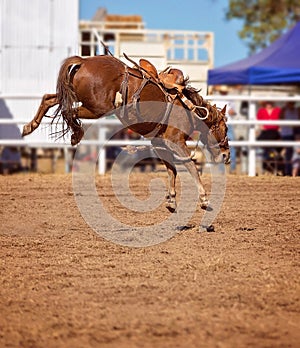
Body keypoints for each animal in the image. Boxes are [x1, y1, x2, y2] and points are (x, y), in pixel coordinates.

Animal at [22, 54, 230, 212]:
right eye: (225, 128)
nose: (227, 155)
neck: (190, 109)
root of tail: (84, 60)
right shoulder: (175, 141)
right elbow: (191, 167)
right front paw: (204, 200)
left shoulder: (159, 143)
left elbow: (172, 169)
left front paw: (171, 200)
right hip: (97, 107)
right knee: (68, 111)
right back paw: (76, 134)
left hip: (75, 96)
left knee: (49, 99)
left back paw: (30, 126)